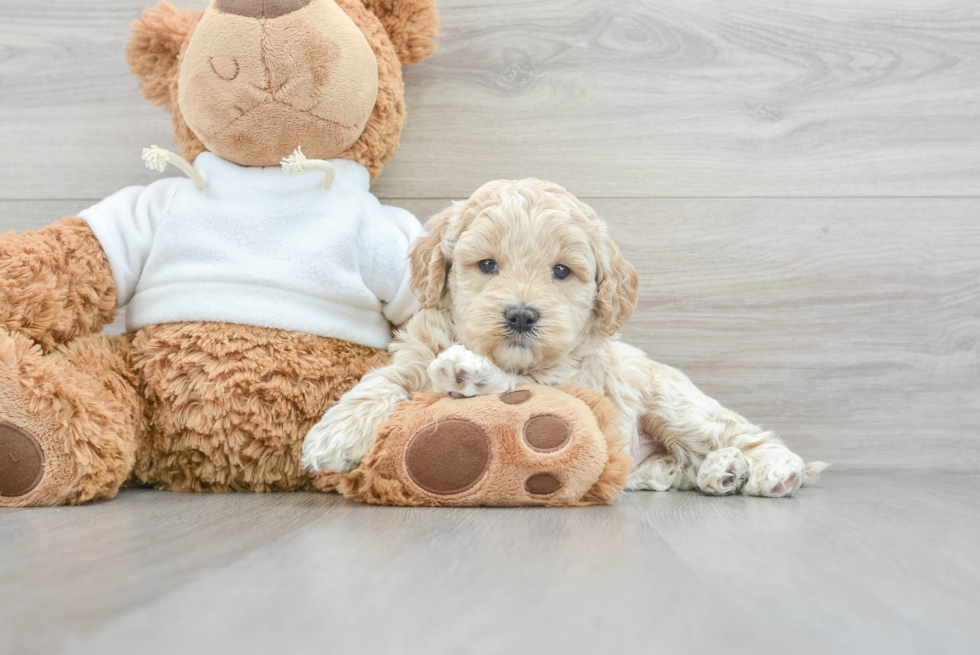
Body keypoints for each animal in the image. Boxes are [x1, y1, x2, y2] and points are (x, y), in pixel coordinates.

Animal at [300, 179, 828, 498]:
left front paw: (472, 373)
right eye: (487, 264)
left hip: (677, 407)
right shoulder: (412, 352)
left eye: (561, 271)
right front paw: (333, 434)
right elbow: (383, 382)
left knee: (743, 434)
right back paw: (720, 472)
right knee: (675, 466)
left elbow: (519, 388)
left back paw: (771, 471)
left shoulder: (578, 387)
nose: (520, 314)